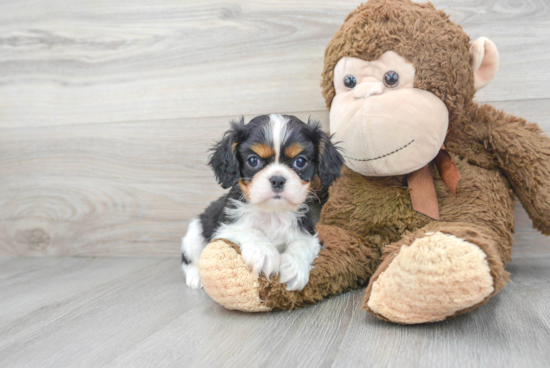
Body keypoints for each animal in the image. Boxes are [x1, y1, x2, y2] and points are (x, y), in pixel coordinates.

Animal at [181, 113, 344, 292]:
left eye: (300, 162)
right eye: (253, 161)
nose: (278, 180)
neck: (272, 212)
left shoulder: (310, 235)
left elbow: (302, 244)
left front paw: (295, 267)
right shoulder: (225, 229)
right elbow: (250, 230)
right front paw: (265, 252)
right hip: (195, 233)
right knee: (188, 259)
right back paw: (195, 276)